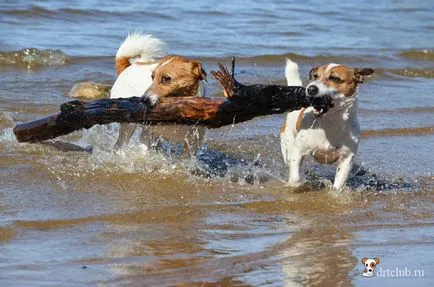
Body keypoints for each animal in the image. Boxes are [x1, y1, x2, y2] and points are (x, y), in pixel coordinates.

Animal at [282, 58, 372, 190]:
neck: (330, 121)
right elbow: (295, 178)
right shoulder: (299, 150)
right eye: (315, 76)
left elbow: (338, 186)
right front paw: (298, 184)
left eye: (334, 78)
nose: (311, 88)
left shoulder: (346, 158)